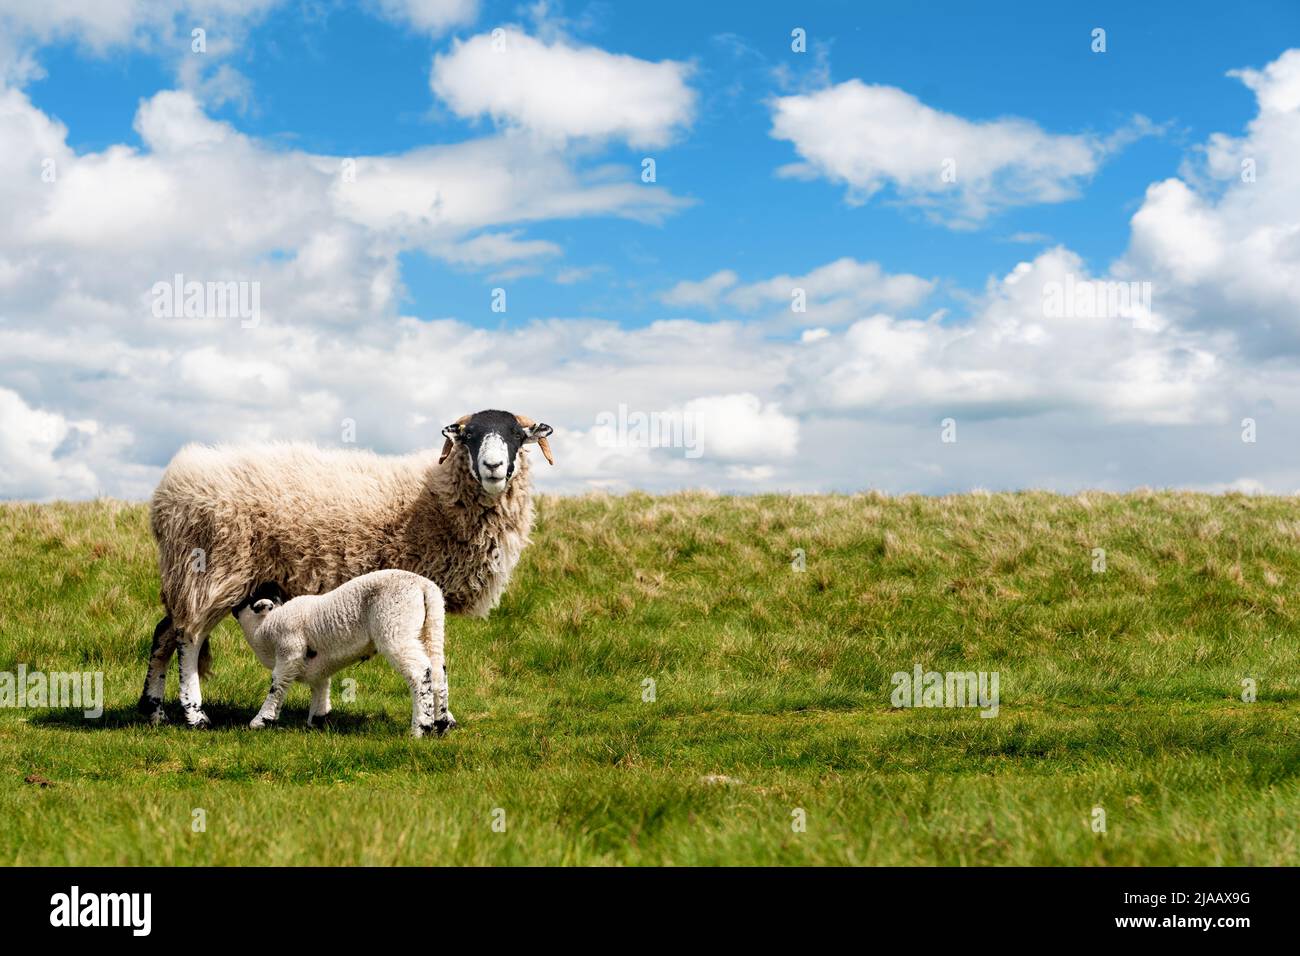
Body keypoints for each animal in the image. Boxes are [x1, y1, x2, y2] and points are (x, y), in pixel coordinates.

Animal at [234, 570, 455, 736]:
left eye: (249, 600)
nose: (233, 607)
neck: (266, 625)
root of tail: (423, 586)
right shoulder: (317, 662)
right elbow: (320, 686)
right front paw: (318, 720)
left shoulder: (290, 651)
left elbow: (277, 685)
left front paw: (261, 720)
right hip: (431, 627)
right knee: (438, 671)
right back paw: (441, 724)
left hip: (396, 627)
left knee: (419, 672)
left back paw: (421, 729)